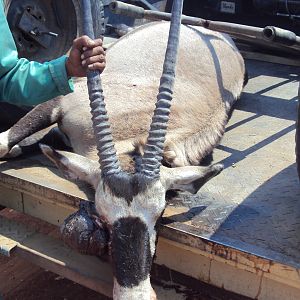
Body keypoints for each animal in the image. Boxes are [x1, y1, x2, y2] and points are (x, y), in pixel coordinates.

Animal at [0, 3, 246, 298]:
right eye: (102, 215)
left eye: (160, 214)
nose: (135, 293)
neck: (128, 137)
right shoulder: (58, 103)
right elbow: (5, 141)